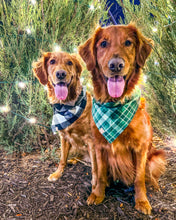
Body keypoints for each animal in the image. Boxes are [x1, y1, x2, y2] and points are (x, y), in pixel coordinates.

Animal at [32, 51, 97, 187]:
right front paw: (57, 173)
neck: (66, 106)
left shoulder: (91, 140)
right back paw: (72, 160)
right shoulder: (64, 136)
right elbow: (62, 159)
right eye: (52, 61)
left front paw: (96, 184)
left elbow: (96, 167)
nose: (61, 74)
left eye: (69, 62)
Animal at [79, 23, 166, 214]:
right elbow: (101, 173)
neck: (115, 104)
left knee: (150, 175)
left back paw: (154, 186)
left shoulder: (140, 148)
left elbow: (139, 178)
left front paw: (141, 201)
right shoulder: (99, 145)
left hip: (156, 157)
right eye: (103, 44)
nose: (116, 65)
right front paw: (98, 193)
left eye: (128, 43)